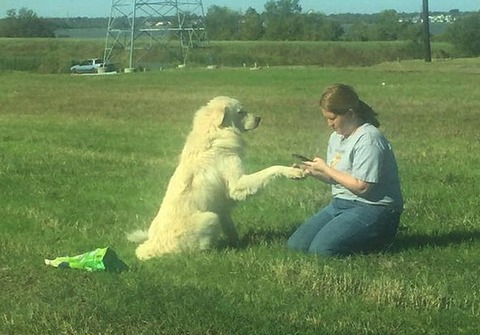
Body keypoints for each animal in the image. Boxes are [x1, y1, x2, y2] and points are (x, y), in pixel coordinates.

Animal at [130, 96, 304, 262]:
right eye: (240, 112)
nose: (259, 118)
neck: (215, 134)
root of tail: (151, 247)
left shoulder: (222, 209)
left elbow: (231, 228)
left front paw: (238, 244)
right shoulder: (237, 184)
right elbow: (271, 169)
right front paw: (293, 172)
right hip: (210, 217)